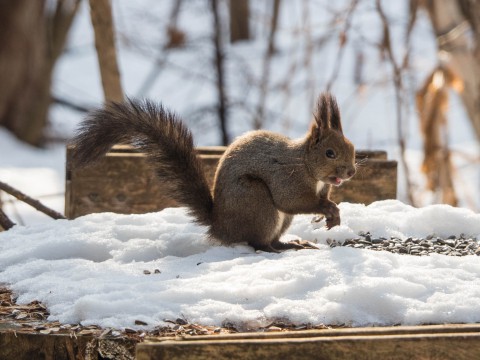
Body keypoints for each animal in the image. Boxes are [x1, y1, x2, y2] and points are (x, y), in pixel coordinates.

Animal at [71, 91, 356, 252]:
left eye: (352, 147)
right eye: (329, 153)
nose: (351, 172)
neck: (306, 164)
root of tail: (220, 226)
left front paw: (333, 214)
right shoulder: (287, 178)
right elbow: (292, 200)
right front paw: (328, 209)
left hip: (277, 218)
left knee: (272, 239)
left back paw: (290, 244)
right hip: (257, 201)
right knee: (257, 243)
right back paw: (273, 249)